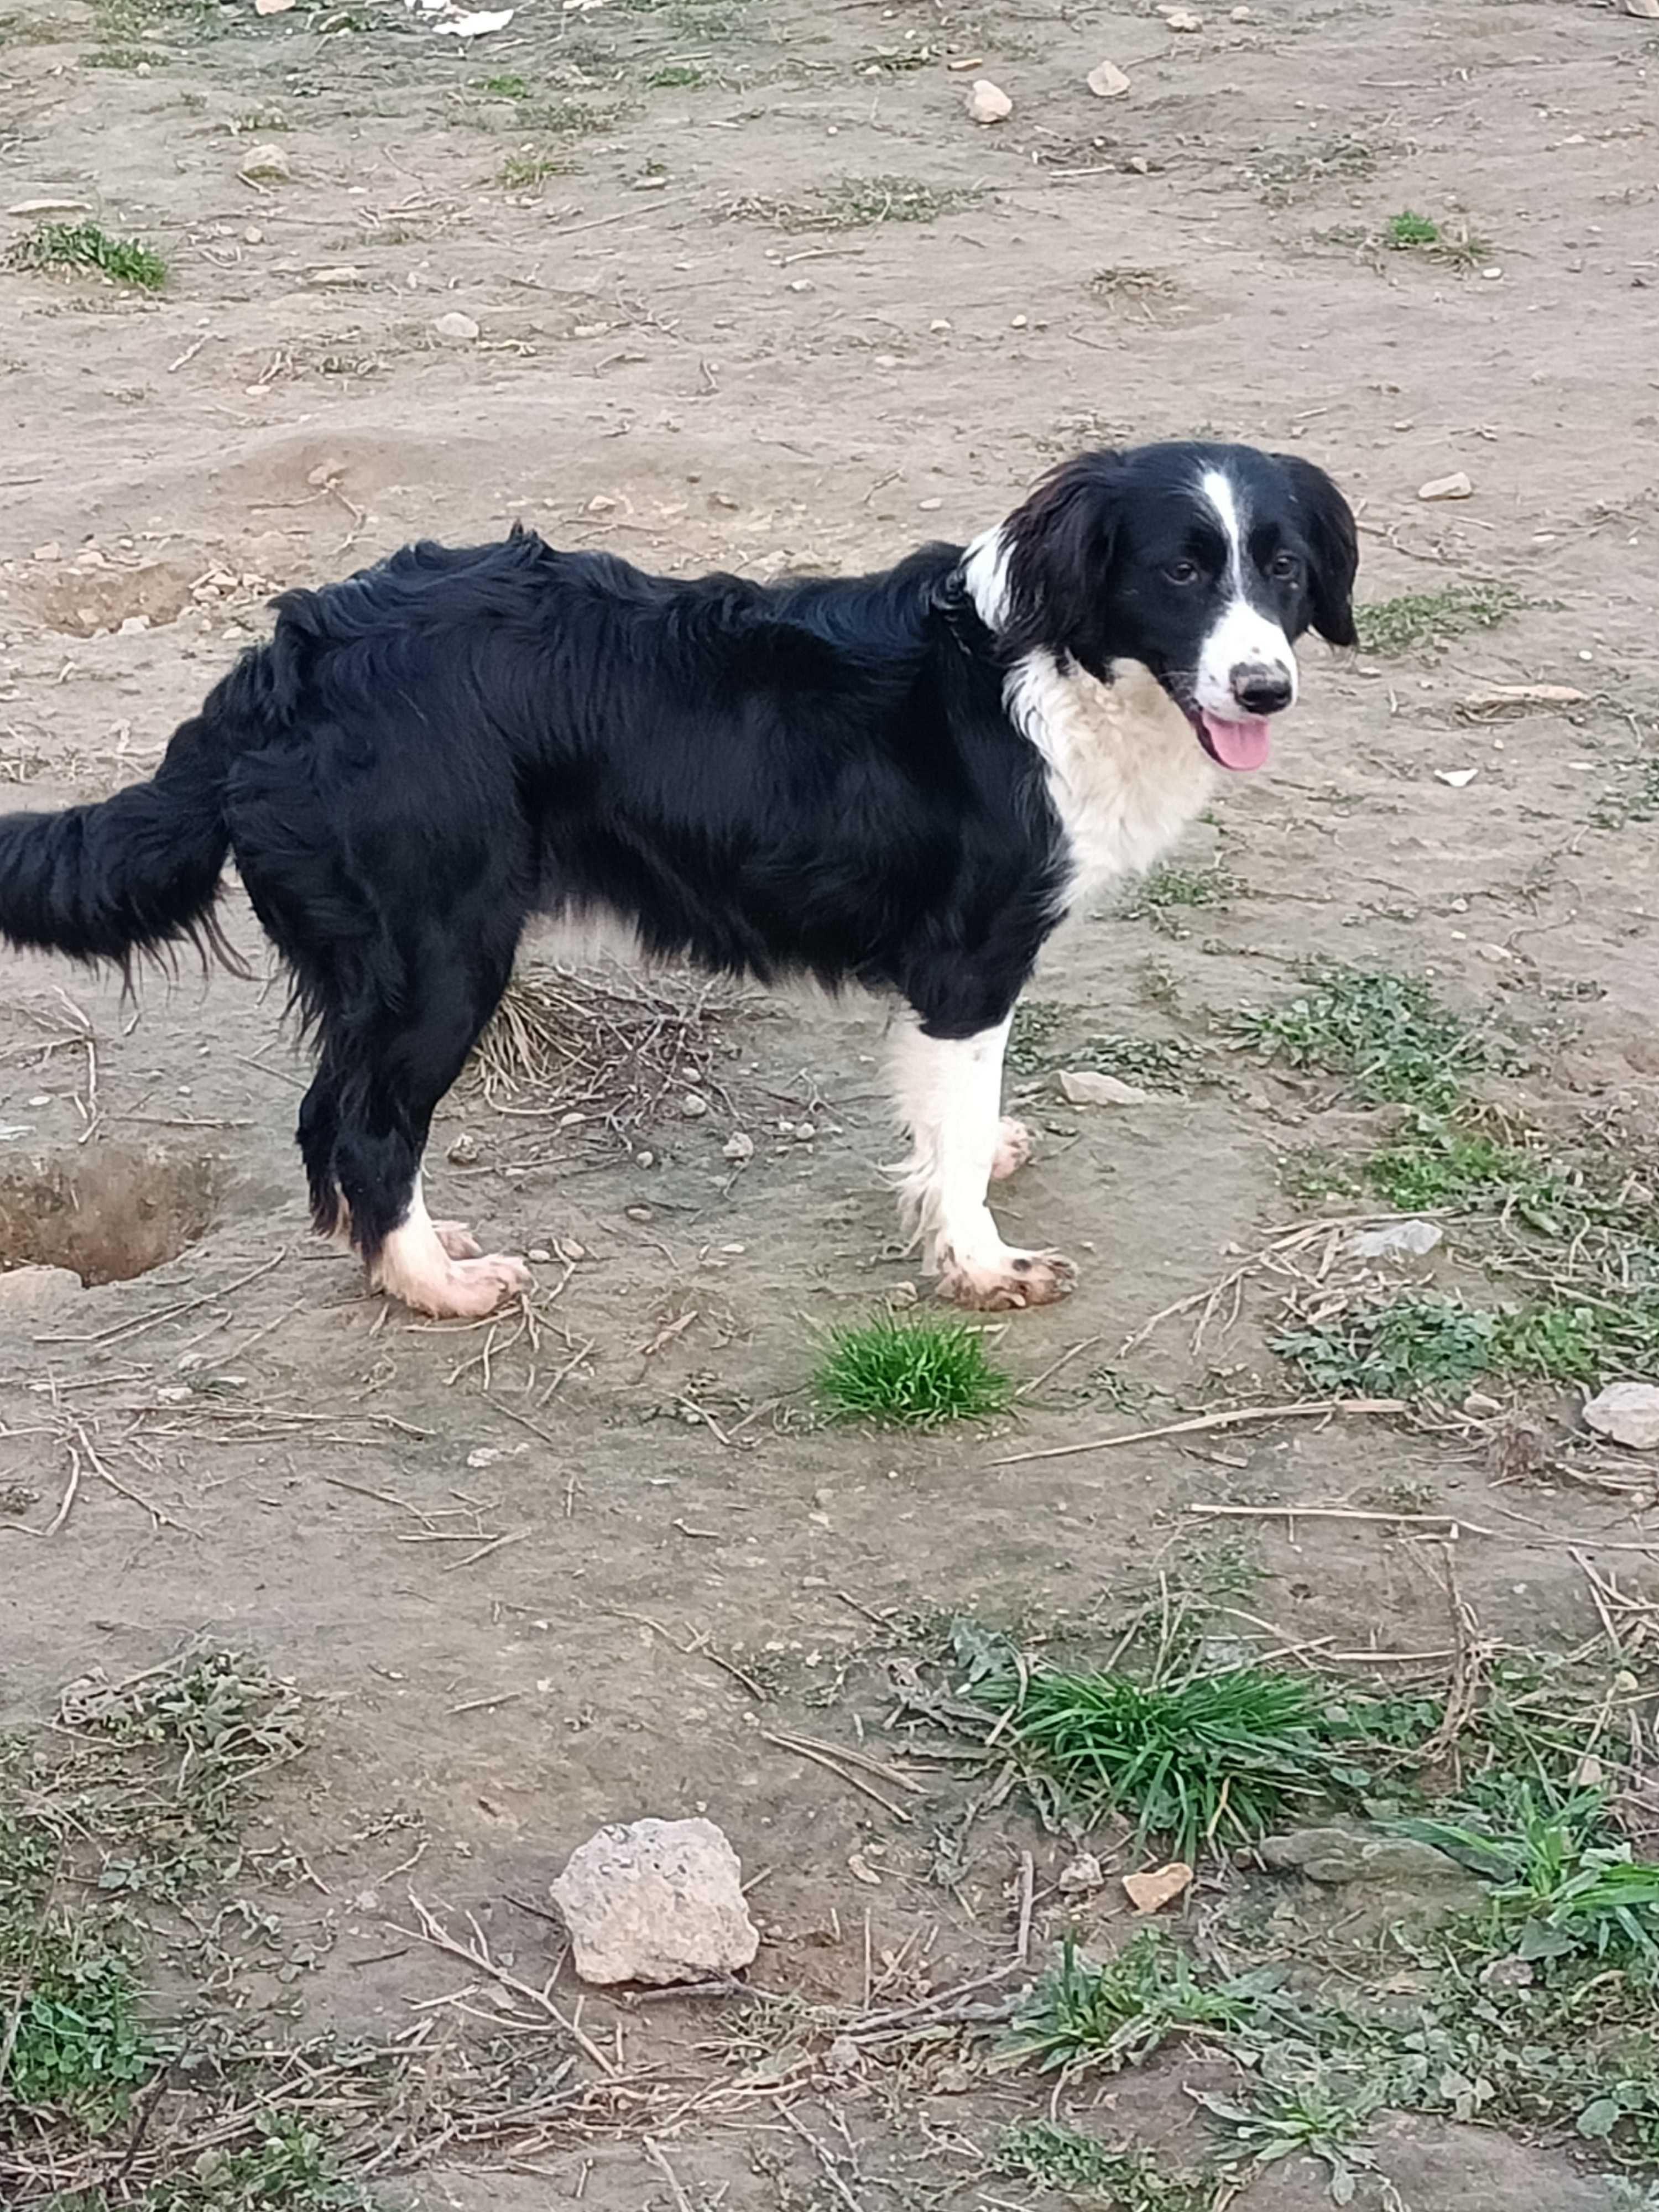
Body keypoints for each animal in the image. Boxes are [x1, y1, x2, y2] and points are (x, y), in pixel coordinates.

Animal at [0, 440, 1354, 1318]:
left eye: (1283, 569)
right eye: (1180, 572)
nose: (1266, 689)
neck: (1051, 665)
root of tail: (282, 664)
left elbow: (953, 1123)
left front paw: (979, 1159)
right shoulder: (971, 962)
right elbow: (958, 1127)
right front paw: (982, 1263)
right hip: (442, 955)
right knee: (359, 1124)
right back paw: (437, 1283)